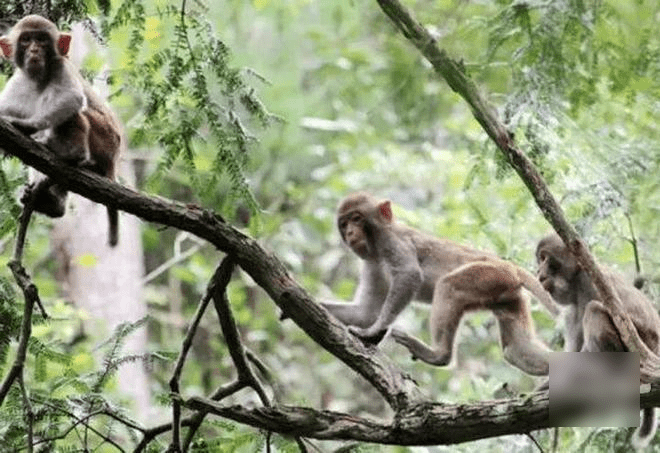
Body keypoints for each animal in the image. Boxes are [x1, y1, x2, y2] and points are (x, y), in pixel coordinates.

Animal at [0, 14, 122, 245]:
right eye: (26, 39)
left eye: (42, 40)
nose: (34, 50)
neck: (37, 79)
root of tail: (114, 161)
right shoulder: (16, 83)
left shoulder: (60, 66)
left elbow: (71, 98)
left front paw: (28, 126)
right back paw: (53, 205)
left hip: (104, 140)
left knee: (72, 109)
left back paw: (74, 153)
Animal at [322, 192, 560, 376]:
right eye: (344, 224)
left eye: (356, 218)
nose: (350, 232)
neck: (376, 246)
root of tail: (508, 265)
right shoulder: (372, 264)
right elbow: (366, 312)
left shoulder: (392, 242)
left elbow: (409, 276)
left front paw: (374, 331)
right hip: (508, 293)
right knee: (516, 349)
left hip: (491, 275)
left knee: (449, 286)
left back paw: (438, 355)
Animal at [536, 235, 660, 446]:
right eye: (539, 259)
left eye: (545, 258)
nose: (538, 271)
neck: (575, 281)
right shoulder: (572, 310)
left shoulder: (588, 282)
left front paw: (571, 380)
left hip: (639, 346)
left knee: (594, 309)